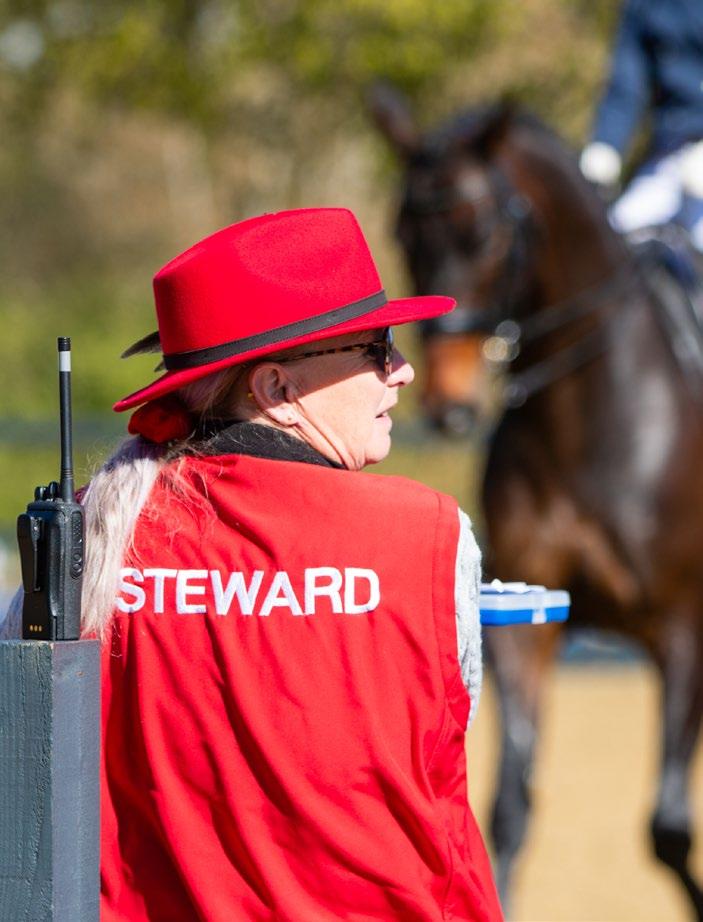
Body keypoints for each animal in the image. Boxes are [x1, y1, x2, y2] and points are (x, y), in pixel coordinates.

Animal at [370, 88, 703, 919]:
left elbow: (668, 827)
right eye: (403, 233)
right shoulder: (525, 623)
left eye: (484, 229)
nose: (448, 405)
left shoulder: (682, 628)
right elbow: (509, 809)